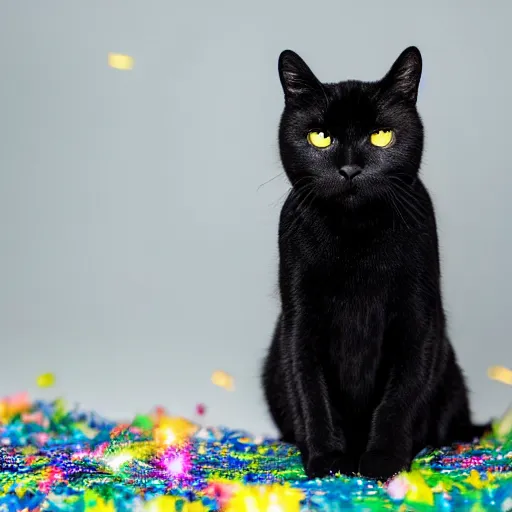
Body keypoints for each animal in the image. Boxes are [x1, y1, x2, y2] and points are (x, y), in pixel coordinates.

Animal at [262, 47, 486, 480]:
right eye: (320, 137)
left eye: (381, 135)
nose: (350, 168)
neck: (355, 235)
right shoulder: (299, 320)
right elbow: (311, 392)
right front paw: (328, 461)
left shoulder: (418, 317)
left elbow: (400, 396)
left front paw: (383, 462)